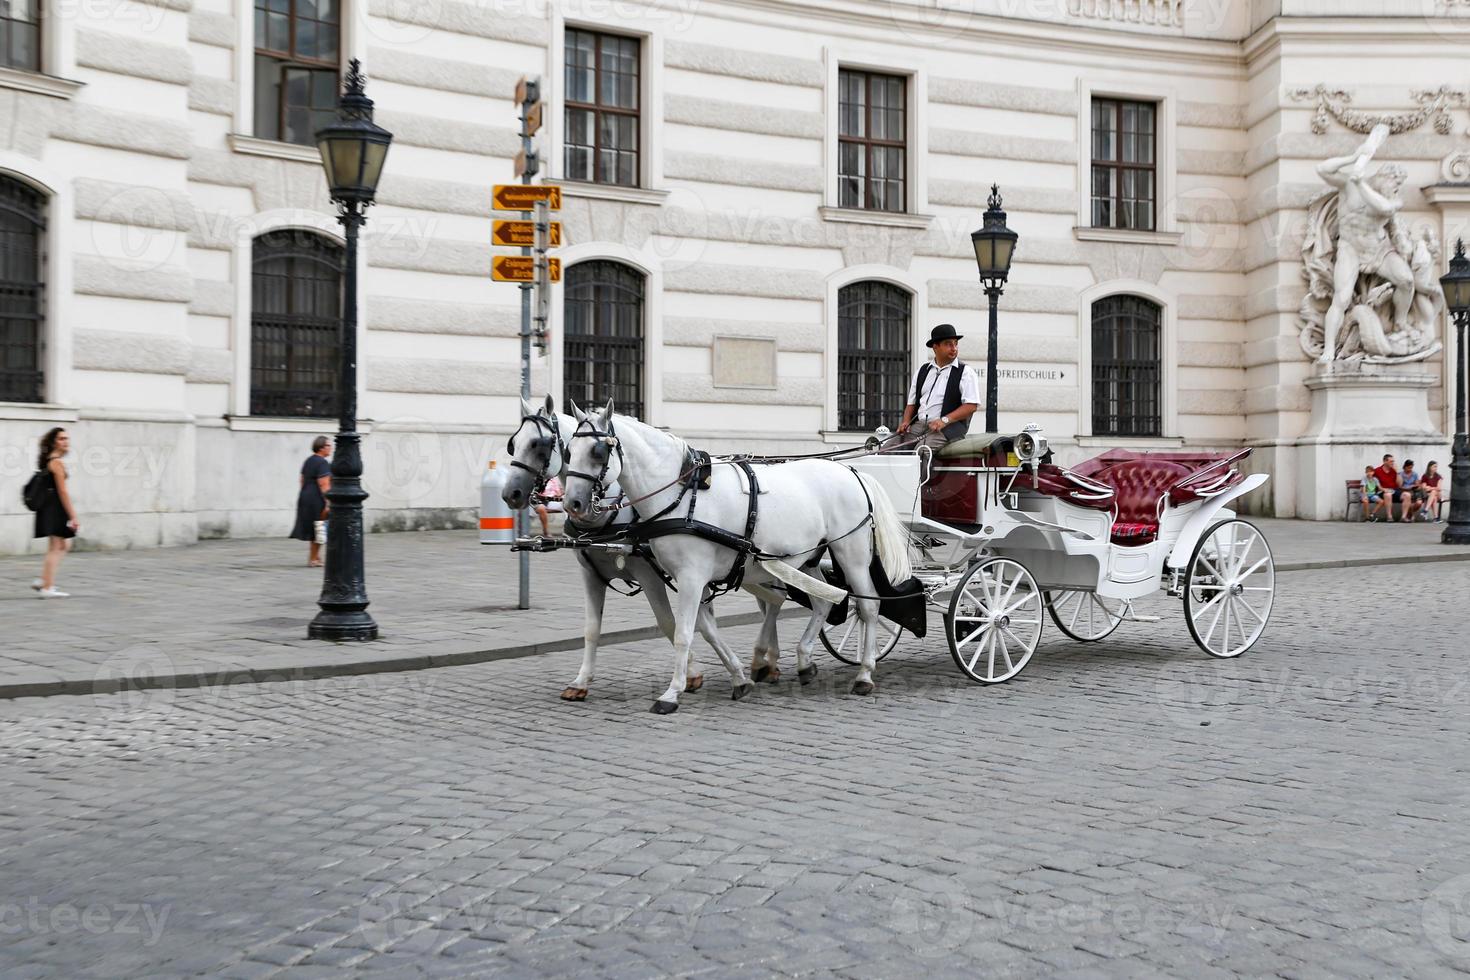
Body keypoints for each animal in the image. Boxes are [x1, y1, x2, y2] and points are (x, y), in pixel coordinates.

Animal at [502, 399, 787, 705]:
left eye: (539, 445)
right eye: (513, 444)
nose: (510, 494)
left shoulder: (650, 574)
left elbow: (669, 623)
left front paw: (691, 675)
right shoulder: (590, 574)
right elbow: (591, 629)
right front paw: (580, 682)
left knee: (777, 601)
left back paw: (767, 658)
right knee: (772, 602)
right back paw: (769, 662)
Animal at [561, 402, 905, 717]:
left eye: (598, 452)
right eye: (568, 452)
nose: (573, 504)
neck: (683, 496)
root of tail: (853, 472)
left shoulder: (690, 577)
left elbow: (683, 633)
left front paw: (672, 693)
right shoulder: (690, 580)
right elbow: (706, 629)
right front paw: (740, 678)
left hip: (851, 553)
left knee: (868, 606)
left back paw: (864, 673)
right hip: (807, 559)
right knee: (824, 602)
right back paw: (805, 662)